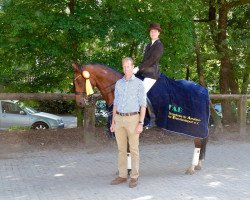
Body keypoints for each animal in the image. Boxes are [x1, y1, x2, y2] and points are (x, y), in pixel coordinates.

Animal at [72, 63, 207, 175]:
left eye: (79, 81)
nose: (79, 103)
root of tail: (203, 89)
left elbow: (128, 149)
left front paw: (128, 171)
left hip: (194, 126)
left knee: (198, 142)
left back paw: (192, 168)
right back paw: (198, 164)